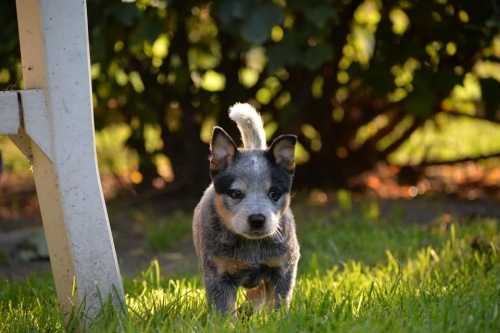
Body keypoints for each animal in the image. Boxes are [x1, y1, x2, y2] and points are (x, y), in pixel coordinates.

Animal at [193, 102, 298, 314]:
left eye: (274, 193)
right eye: (235, 193)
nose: (257, 219)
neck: (252, 248)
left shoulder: (283, 267)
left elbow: (278, 303)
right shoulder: (218, 275)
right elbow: (223, 311)